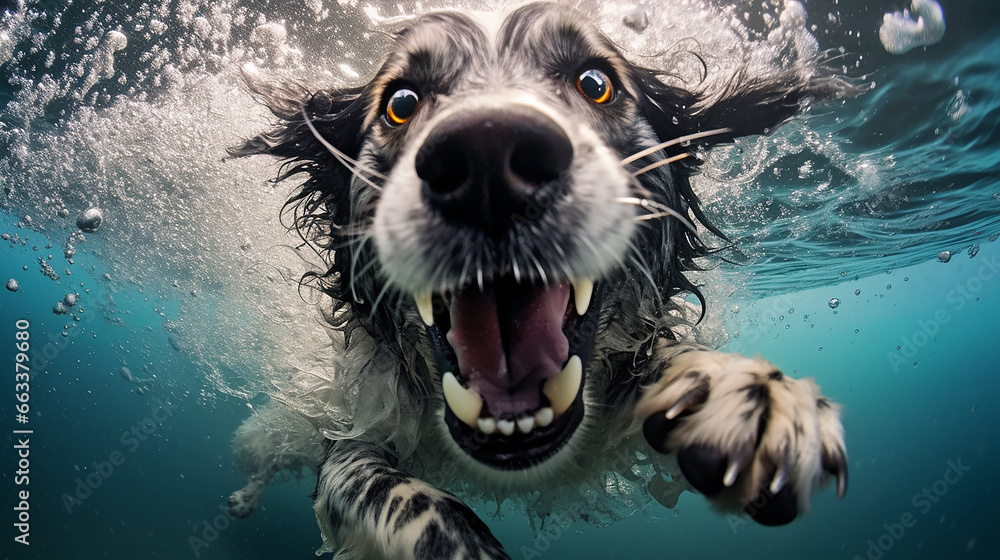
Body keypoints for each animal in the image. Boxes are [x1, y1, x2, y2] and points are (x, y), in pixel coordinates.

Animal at [227, 3, 852, 556]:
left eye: (596, 82)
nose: (488, 154)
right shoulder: (356, 435)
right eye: (401, 102)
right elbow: (410, 501)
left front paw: (746, 395)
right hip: (279, 428)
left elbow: (669, 359)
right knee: (265, 457)